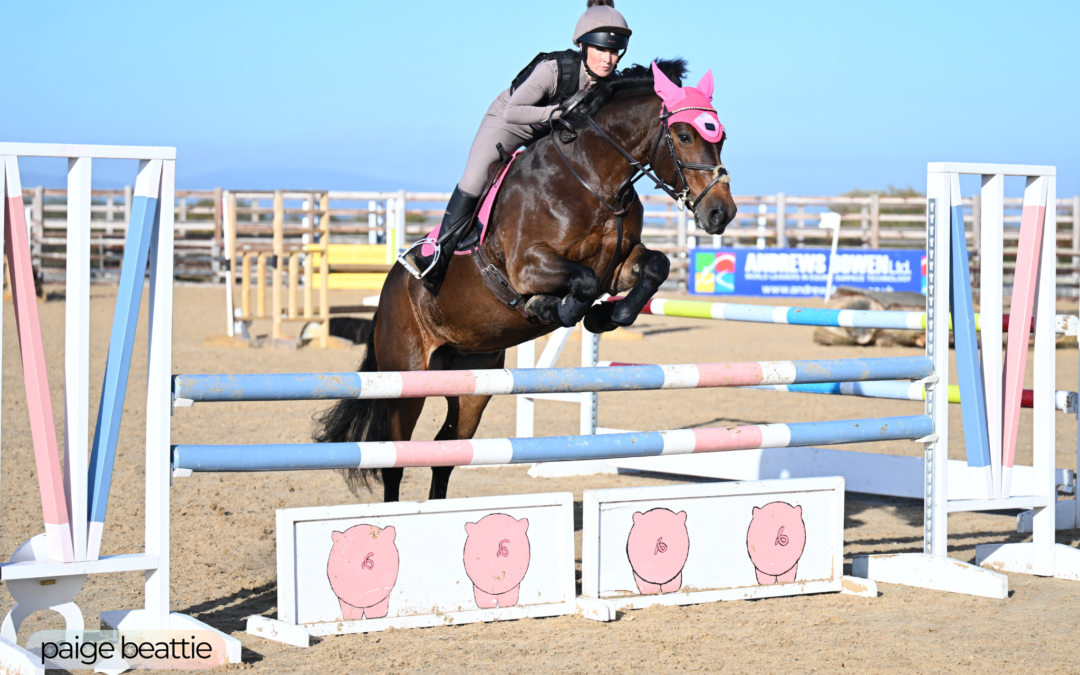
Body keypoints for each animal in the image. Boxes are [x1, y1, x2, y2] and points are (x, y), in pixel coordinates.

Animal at [311, 59, 734, 501]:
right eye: (684, 135)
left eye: (720, 137)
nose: (722, 213)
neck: (594, 178)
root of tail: (388, 291)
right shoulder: (527, 265)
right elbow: (582, 283)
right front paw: (555, 308)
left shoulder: (618, 266)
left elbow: (655, 267)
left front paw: (606, 317)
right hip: (405, 381)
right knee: (394, 458)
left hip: (472, 379)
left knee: (445, 451)